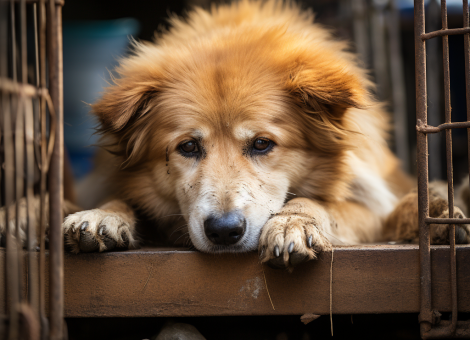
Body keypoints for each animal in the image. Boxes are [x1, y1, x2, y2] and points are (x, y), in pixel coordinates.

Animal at [0, 0, 470, 270]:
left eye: (262, 144)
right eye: (188, 146)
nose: (224, 231)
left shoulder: (366, 202)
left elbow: (322, 201)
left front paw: (294, 221)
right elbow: (119, 199)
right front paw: (103, 215)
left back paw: (442, 213)